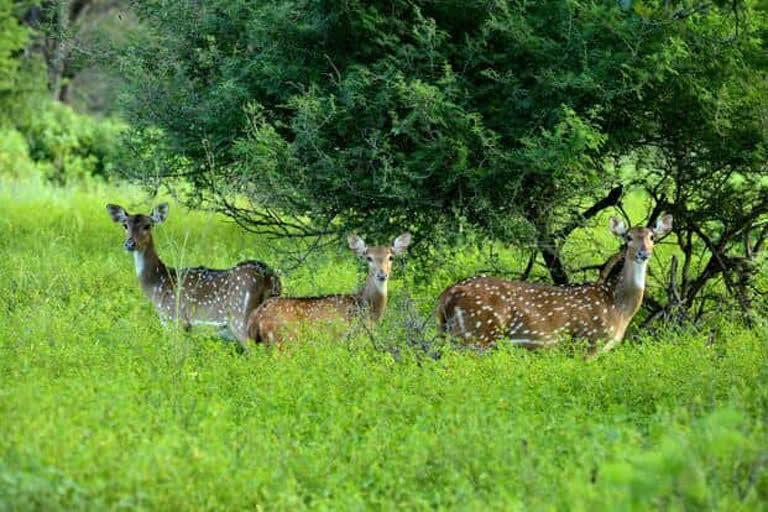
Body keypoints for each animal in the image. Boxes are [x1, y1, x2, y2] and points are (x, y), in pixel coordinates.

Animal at [104, 201, 280, 344]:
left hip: (241, 318)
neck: (158, 285)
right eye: (125, 225)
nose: (129, 244)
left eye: (147, 225)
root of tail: (268, 277)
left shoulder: (176, 319)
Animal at [249, 233, 412, 346]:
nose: (382, 274)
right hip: (284, 340)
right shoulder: (355, 337)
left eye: (391, 257)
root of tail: (257, 316)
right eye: (369, 258)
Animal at [438, 214, 672, 354]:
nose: (643, 253)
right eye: (628, 237)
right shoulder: (587, 341)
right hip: (477, 335)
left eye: (652, 236)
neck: (617, 309)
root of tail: (447, 295)